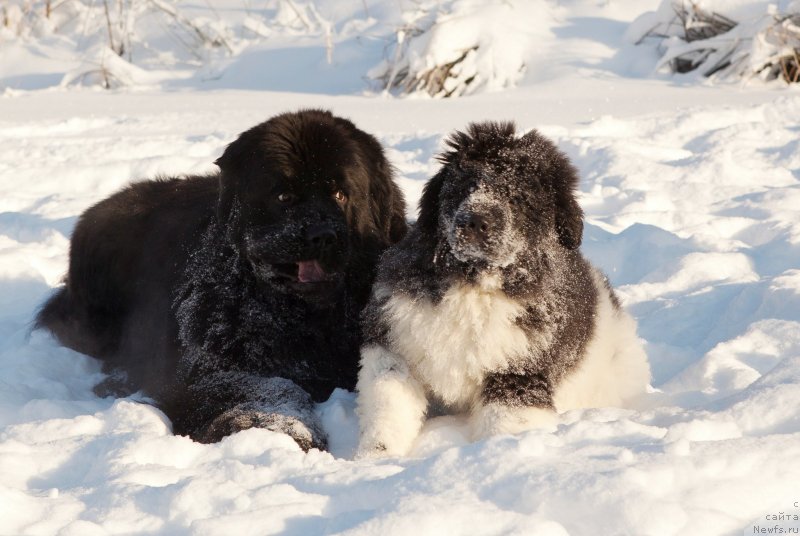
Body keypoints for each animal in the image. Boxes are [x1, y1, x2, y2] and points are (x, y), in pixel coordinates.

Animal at [36, 108, 406, 448]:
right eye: (284, 197)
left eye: (341, 195)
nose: (322, 235)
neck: (300, 317)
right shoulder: (204, 369)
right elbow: (272, 386)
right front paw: (276, 428)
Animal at [356, 121, 648, 456]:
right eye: (467, 186)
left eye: (518, 195)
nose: (473, 221)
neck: (474, 286)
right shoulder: (393, 346)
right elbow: (388, 406)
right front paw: (373, 457)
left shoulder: (517, 371)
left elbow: (506, 422)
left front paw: (496, 455)